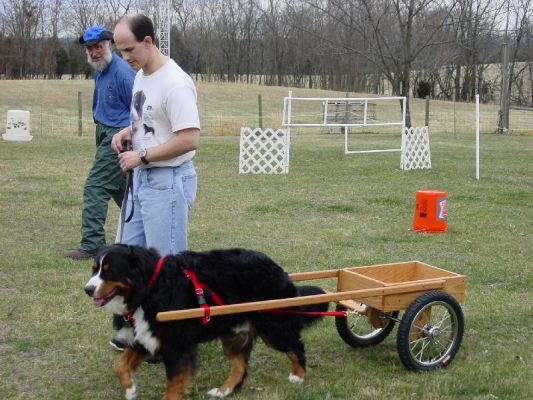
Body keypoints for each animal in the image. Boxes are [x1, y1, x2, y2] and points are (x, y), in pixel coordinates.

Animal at [84, 244, 326, 400]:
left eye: (110, 271)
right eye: (95, 269)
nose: (87, 289)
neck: (149, 288)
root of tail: (277, 268)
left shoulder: (176, 345)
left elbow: (173, 383)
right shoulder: (146, 337)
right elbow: (120, 365)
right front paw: (130, 389)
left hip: (273, 326)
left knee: (296, 347)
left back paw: (298, 376)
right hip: (234, 332)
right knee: (239, 367)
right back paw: (223, 390)